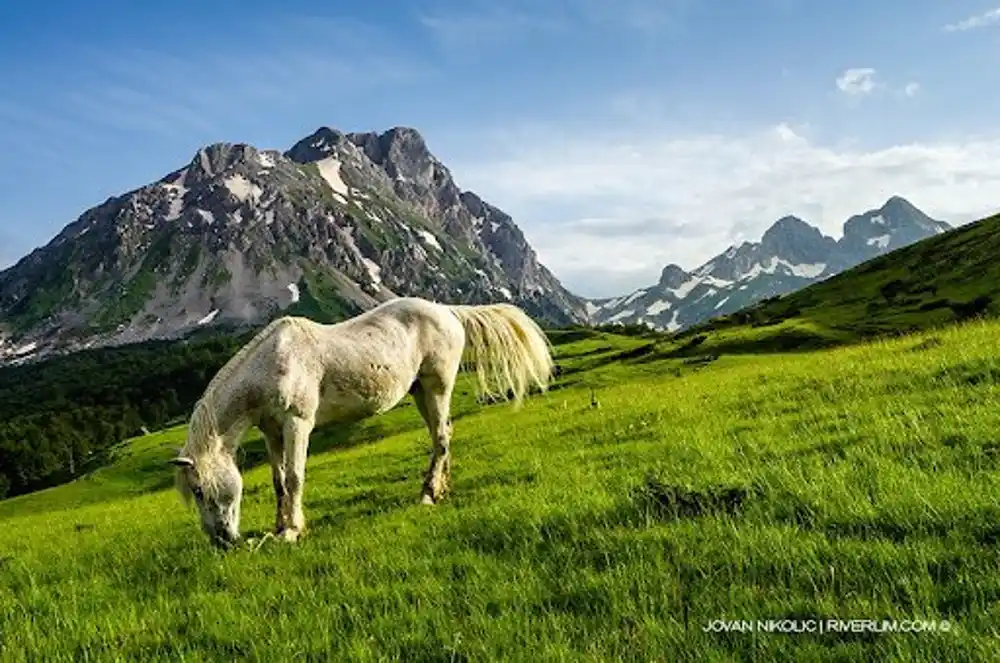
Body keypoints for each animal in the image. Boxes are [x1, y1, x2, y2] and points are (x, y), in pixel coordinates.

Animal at [171, 298, 556, 548]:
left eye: (199, 490)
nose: (222, 541)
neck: (274, 362)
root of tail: (447, 311)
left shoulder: (297, 423)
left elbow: (294, 478)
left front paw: (292, 531)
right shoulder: (271, 431)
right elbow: (279, 482)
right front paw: (278, 527)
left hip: (438, 385)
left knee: (442, 438)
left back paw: (429, 494)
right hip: (420, 391)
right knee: (442, 434)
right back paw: (440, 488)